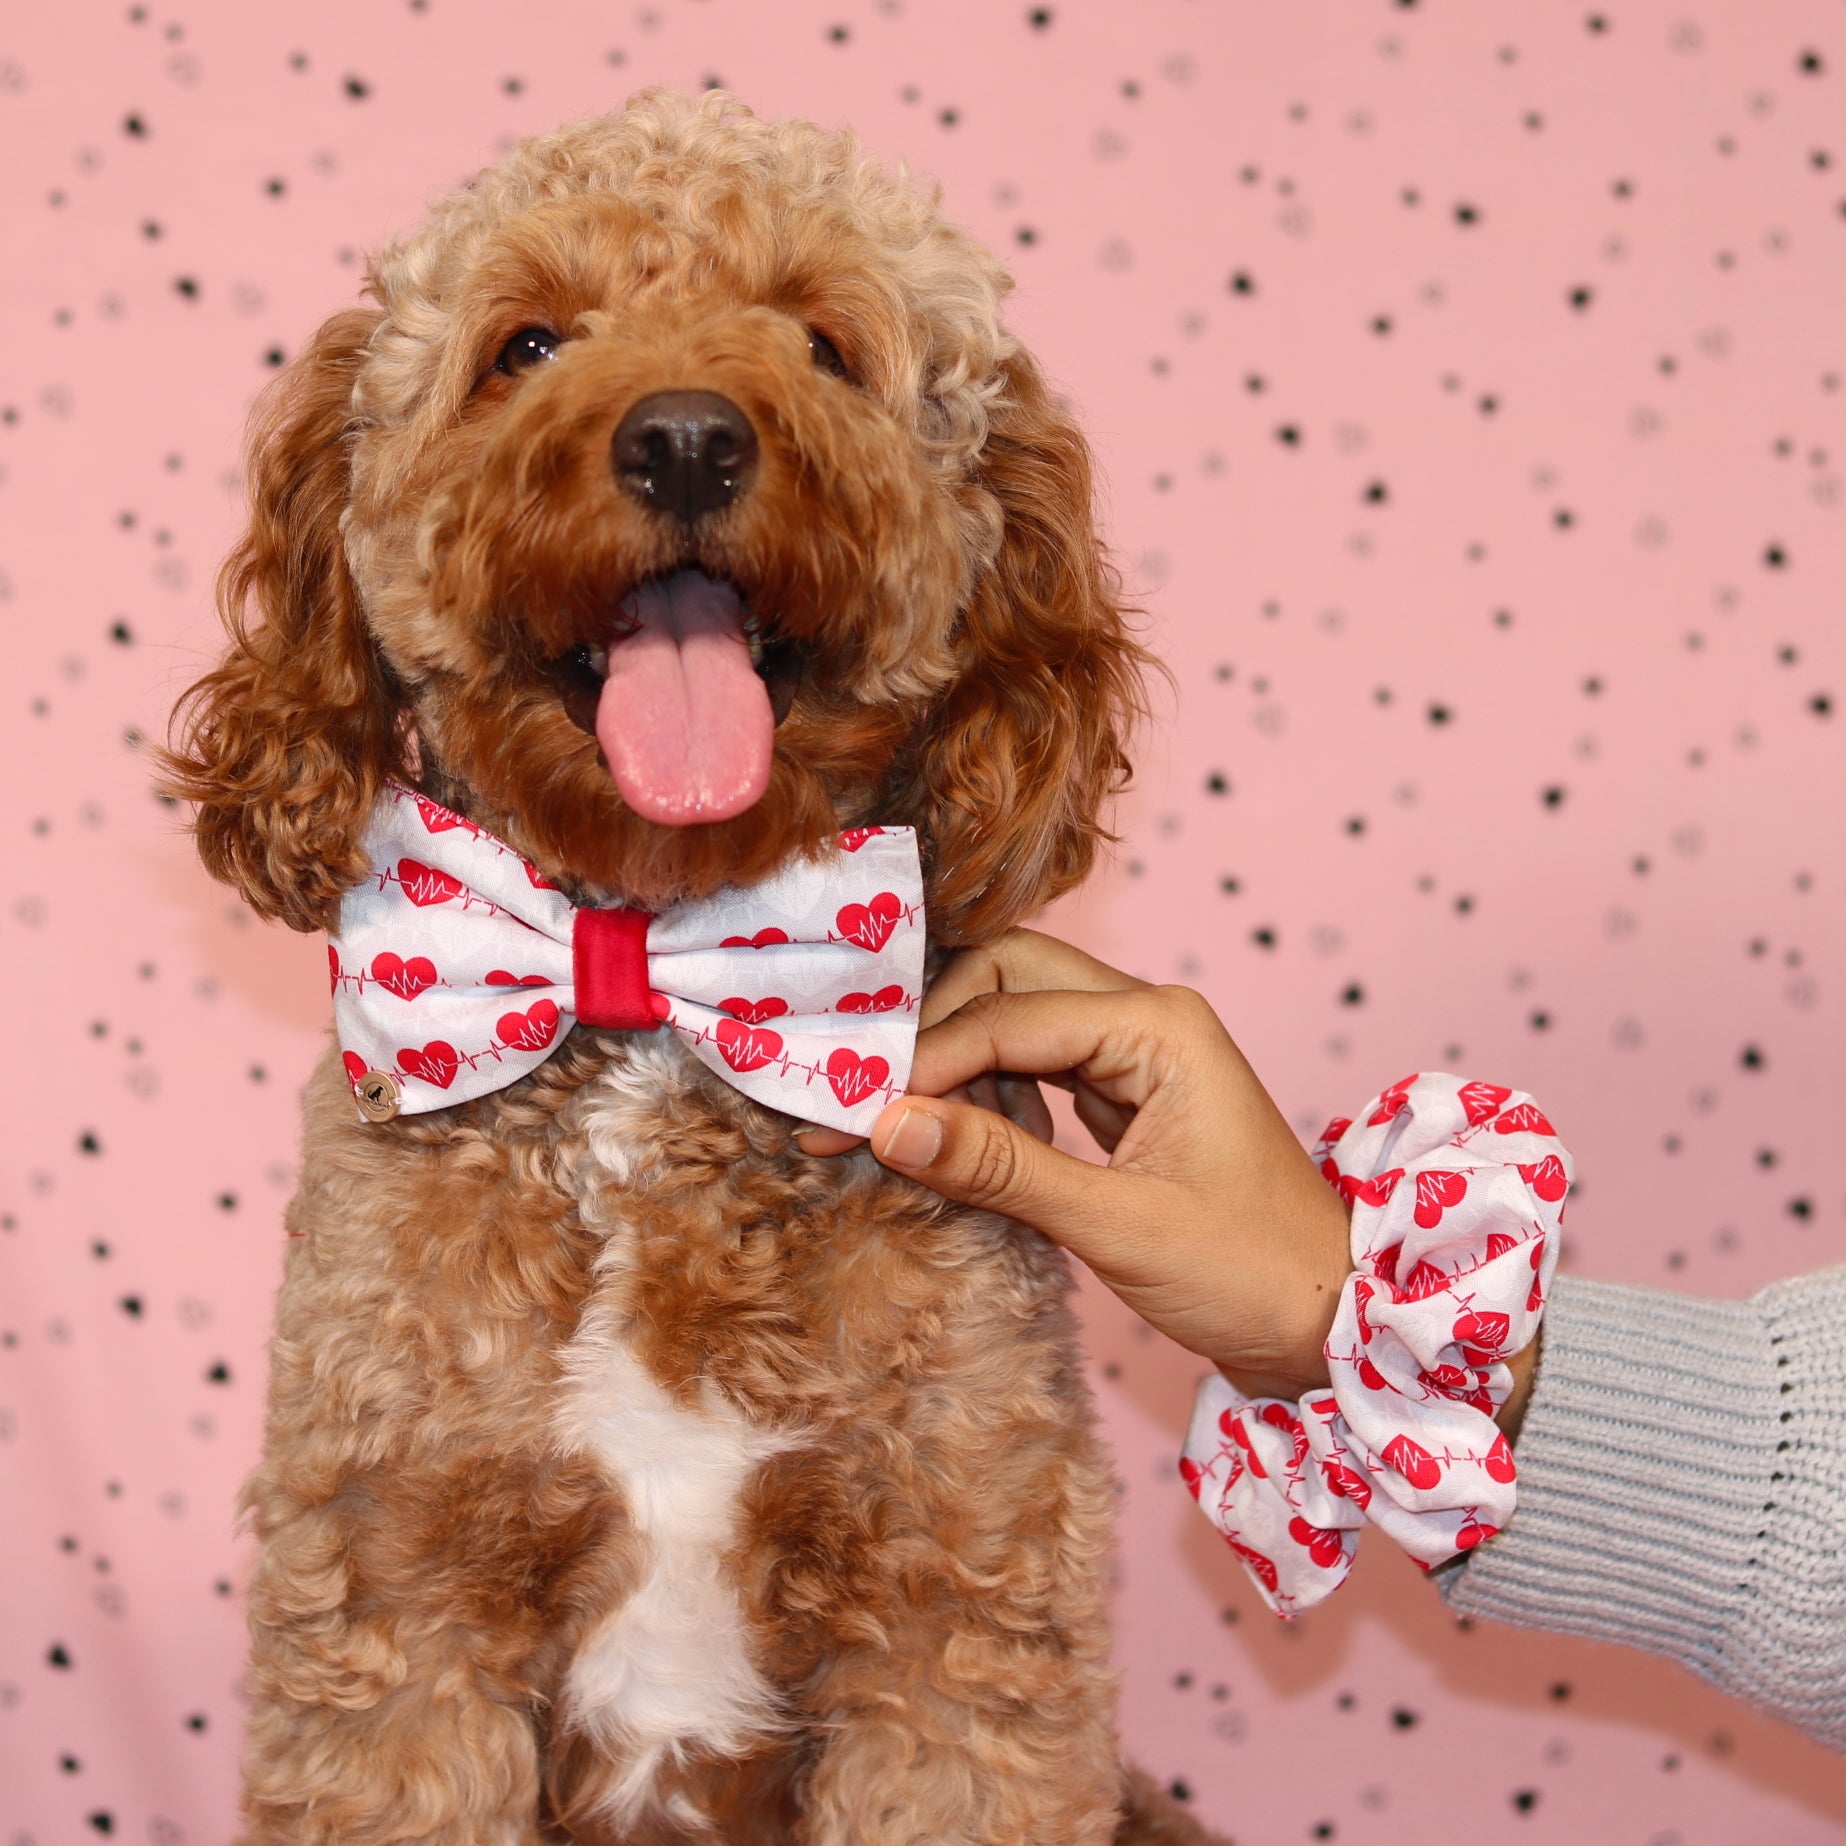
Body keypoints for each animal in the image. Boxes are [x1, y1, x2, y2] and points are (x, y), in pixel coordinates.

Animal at [162, 93, 1225, 1846]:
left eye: (822, 341)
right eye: (526, 342)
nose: (681, 439)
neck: (654, 979)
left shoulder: (959, 1618)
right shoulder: (395, 1614)